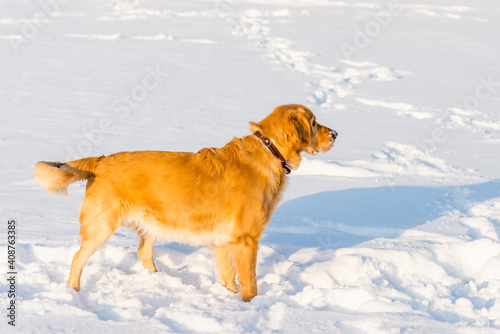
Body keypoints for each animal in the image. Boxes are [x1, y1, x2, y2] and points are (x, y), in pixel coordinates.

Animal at [33, 103, 338, 302]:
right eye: (313, 123)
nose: (335, 134)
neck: (269, 150)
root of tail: (101, 160)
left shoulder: (223, 243)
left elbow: (228, 279)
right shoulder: (247, 240)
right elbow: (250, 285)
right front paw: (250, 306)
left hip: (150, 225)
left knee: (143, 254)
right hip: (101, 226)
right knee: (77, 259)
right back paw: (74, 293)